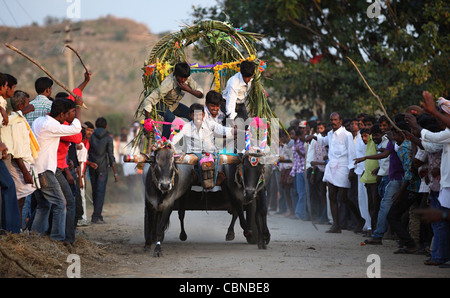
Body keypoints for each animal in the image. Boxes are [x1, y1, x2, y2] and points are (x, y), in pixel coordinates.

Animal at [140, 147, 274, 256]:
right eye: (244, 168)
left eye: (260, 169)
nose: (165, 185)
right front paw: (149, 244)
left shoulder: (259, 191)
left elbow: (259, 212)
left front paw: (263, 238)